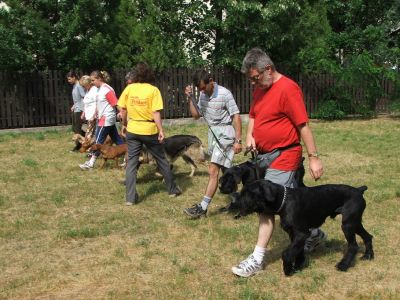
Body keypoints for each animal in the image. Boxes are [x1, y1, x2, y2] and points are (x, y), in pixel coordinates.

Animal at [233, 179, 374, 276]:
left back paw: (343, 265)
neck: (284, 201)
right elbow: (297, 250)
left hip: (348, 225)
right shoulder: (294, 234)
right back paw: (368, 256)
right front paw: (299, 265)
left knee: (353, 246)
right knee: (368, 236)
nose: (235, 203)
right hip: (354, 223)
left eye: (248, 193)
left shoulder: (301, 233)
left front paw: (288, 270)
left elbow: (286, 253)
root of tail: (359, 190)